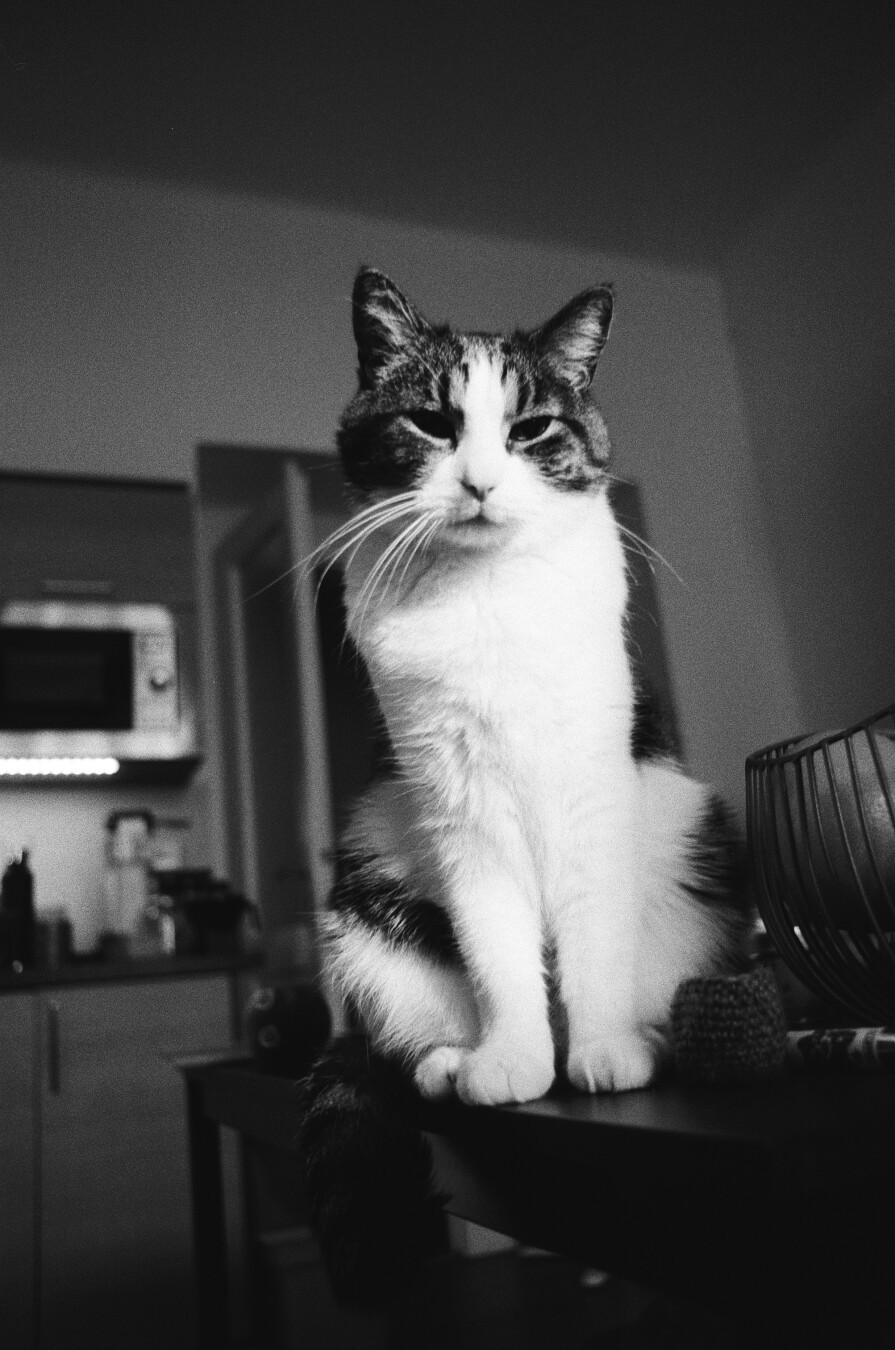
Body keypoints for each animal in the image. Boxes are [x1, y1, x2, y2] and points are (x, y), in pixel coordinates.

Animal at [311, 265, 750, 1107]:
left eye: (531, 429)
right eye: (430, 422)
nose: (480, 483)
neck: (488, 596)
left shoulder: (594, 789)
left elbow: (595, 942)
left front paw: (605, 1048)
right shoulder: (456, 807)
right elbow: (494, 951)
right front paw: (511, 1057)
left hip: (698, 858)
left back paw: (645, 1039)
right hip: (365, 899)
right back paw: (450, 1061)